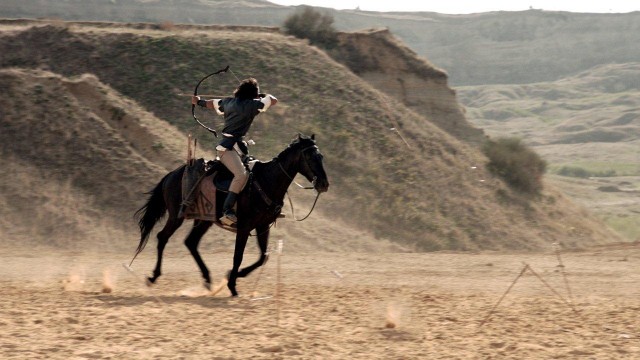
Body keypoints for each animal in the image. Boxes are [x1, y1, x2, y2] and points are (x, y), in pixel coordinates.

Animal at [131, 134, 330, 296]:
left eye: (320, 156)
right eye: (310, 156)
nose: (324, 184)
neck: (265, 182)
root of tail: (172, 175)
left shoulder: (263, 226)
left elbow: (263, 257)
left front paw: (234, 276)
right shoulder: (244, 227)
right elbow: (238, 256)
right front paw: (232, 285)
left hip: (203, 220)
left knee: (191, 242)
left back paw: (207, 279)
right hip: (176, 217)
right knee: (162, 237)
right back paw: (153, 277)